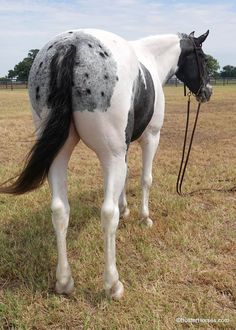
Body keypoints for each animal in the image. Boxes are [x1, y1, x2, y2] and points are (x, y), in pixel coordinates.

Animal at [0, 29, 211, 300]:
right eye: (203, 58)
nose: (207, 91)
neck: (152, 58)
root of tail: (73, 44)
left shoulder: (124, 147)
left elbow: (127, 176)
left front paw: (126, 209)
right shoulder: (150, 137)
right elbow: (145, 179)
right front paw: (144, 217)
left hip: (60, 154)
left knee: (59, 210)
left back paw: (64, 281)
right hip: (110, 154)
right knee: (107, 214)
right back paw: (112, 284)